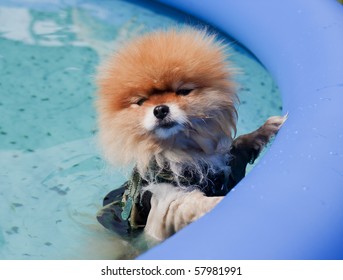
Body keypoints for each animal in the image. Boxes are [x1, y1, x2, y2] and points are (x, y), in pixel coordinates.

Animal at [96, 29, 284, 242]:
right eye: (141, 102)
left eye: (183, 91)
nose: (160, 109)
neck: (184, 151)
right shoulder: (166, 202)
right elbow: (195, 203)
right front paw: (219, 202)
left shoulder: (224, 167)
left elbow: (240, 143)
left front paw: (271, 125)